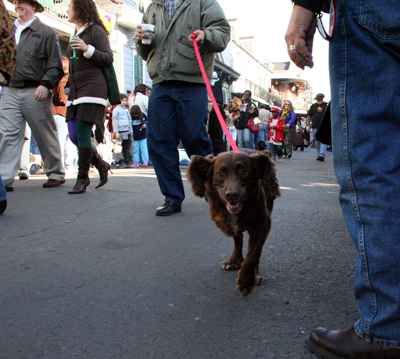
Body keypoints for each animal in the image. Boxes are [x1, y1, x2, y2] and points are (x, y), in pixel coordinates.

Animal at [187, 149, 278, 298]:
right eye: (220, 174)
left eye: (243, 172)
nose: (231, 194)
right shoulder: (224, 222)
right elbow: (238, 240)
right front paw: (236, 263)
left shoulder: (262, 223)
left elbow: (253, 253)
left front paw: (247, 280)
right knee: (238, 239)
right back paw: (233, 261)